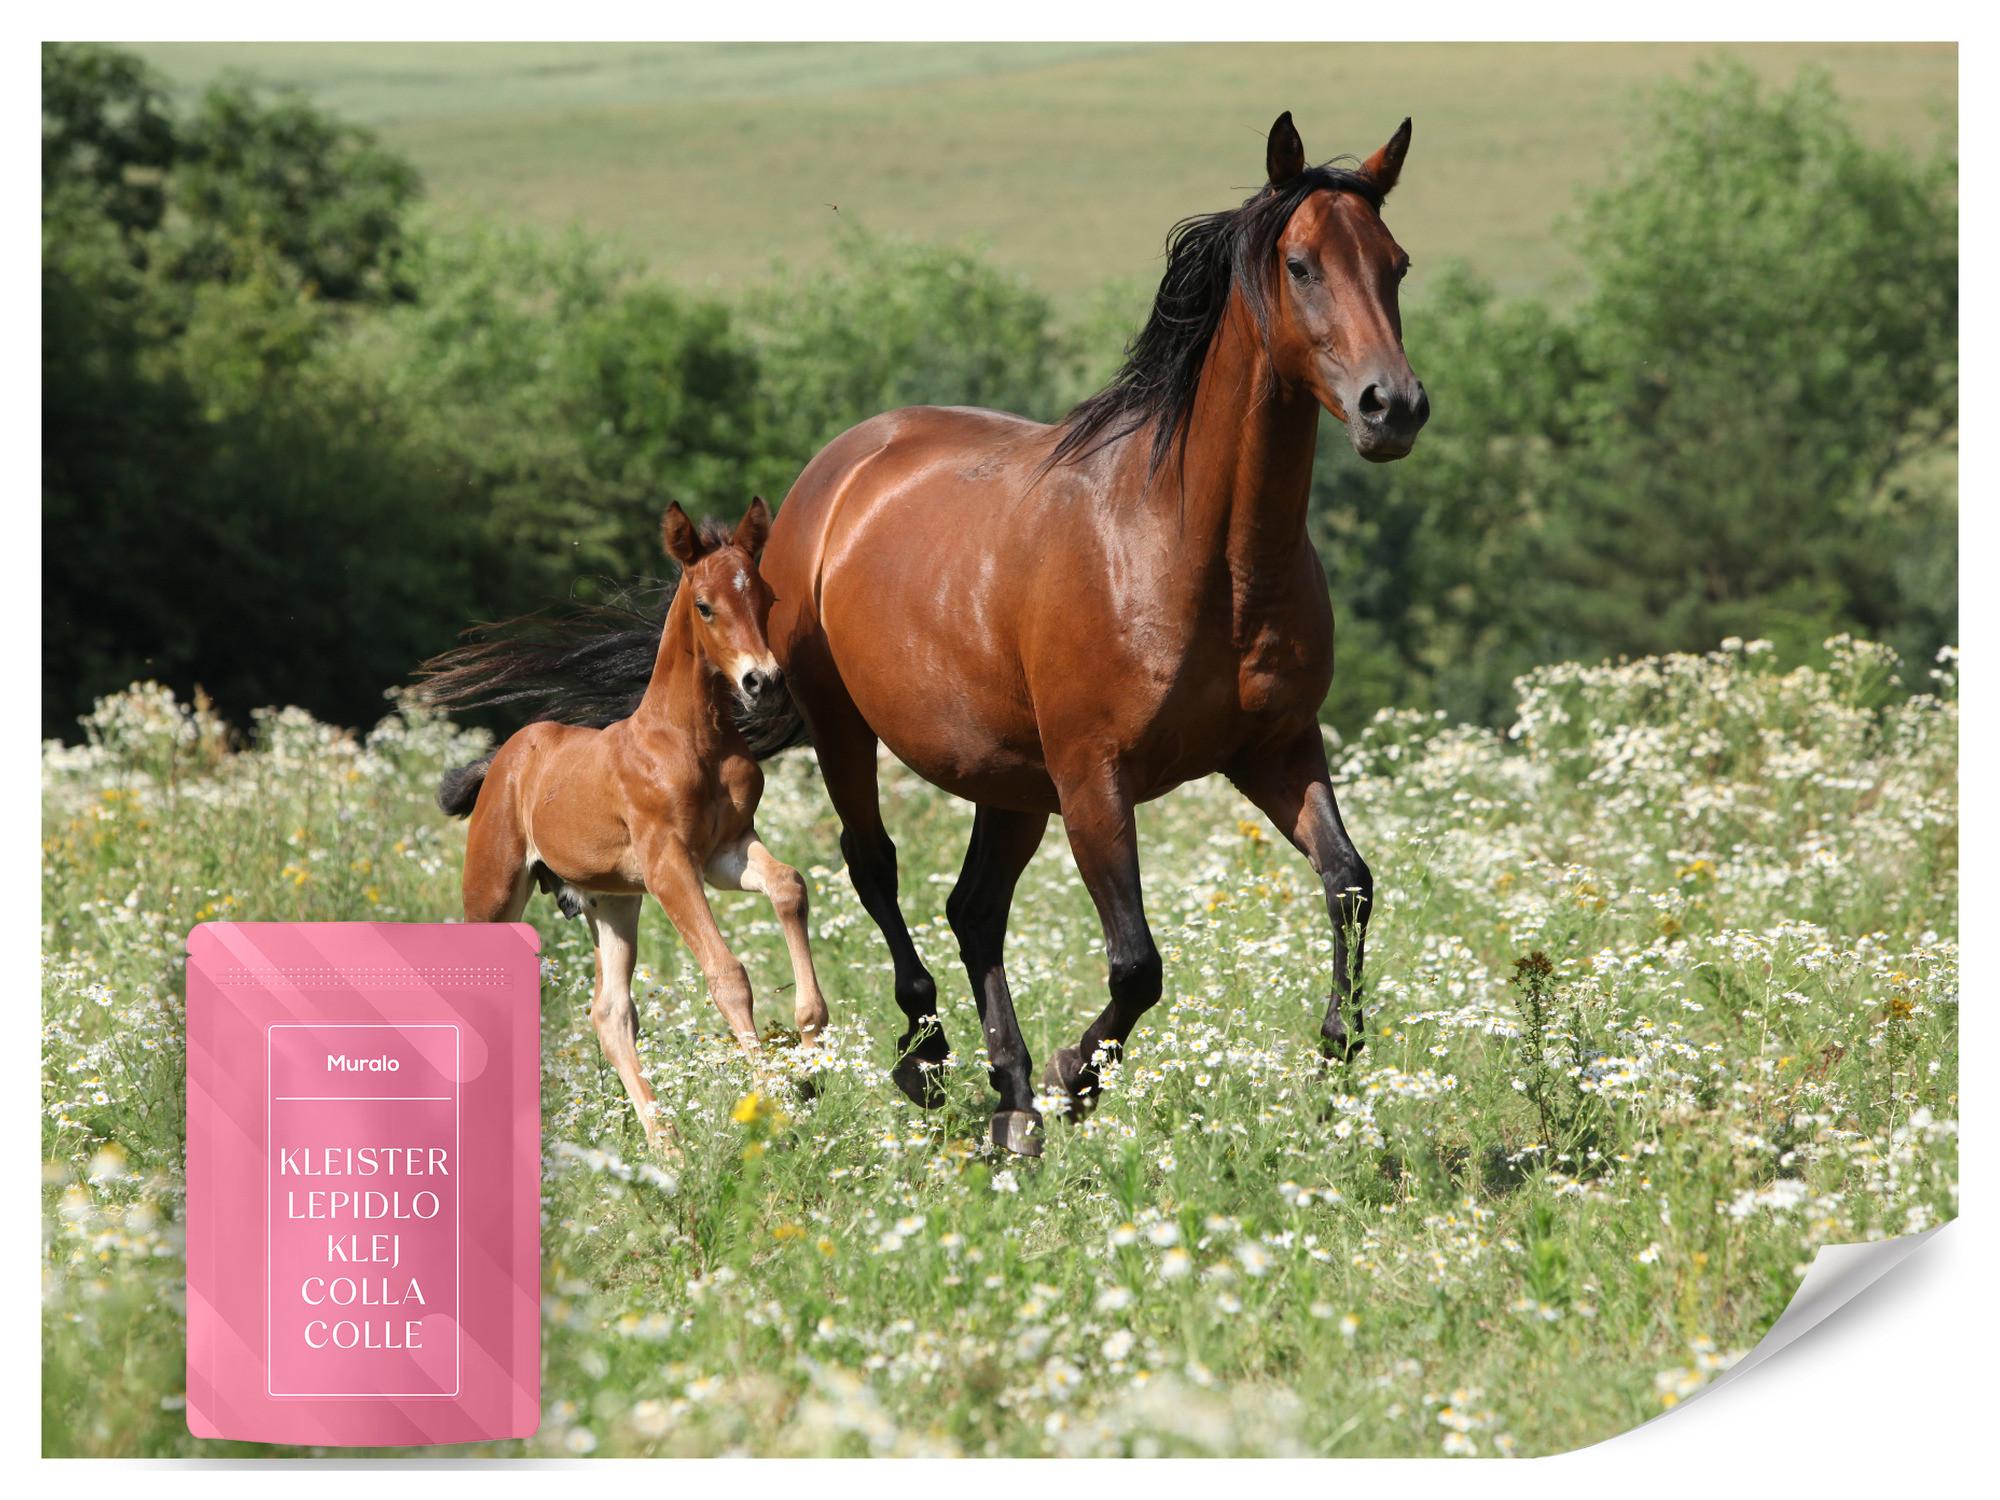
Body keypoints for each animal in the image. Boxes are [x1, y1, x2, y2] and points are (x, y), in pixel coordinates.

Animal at [417, 498, 828, 1156]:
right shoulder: (669, 865)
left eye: (765, 596)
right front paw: (776, 1109)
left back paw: (666, 1143)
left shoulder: (727, 852)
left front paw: (812, 1043)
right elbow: (727, 974)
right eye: (704, 605)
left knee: (609, 1012)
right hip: (493, 890)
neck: (691, 739)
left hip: (611, 903)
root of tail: (506, 757)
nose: (762, 682)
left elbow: (788, 885)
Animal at [756, 111, 1428, 1155]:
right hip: (847, 731)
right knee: (876, 867)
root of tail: (837, 469)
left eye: (1396, 265)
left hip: (1008, 778)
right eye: (1302, 264)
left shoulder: (1276, 749)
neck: (1197, 550)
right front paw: (1080, 1074)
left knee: (974, 909)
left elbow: (1349, 881)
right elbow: (1137, 963)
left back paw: (1010, 1098)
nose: (1391, 408)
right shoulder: (1094, 779)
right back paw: (931, 1060)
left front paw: (1335, 1046)